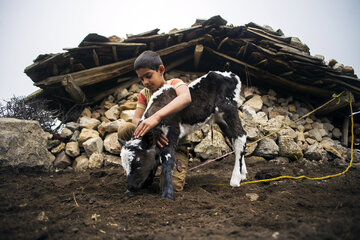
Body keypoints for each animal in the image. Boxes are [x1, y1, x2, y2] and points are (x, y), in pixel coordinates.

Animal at [120, 71, 248, 201]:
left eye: (138, 163)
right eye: (124, 165)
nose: (129, 187)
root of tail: (230, 75)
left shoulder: (173, 129)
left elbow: (168, 159)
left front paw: (167, 194)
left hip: (228, 109)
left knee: (240, 136)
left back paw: (235, 179)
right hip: (219, 118)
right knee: (234, 138)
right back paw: (242, 173)